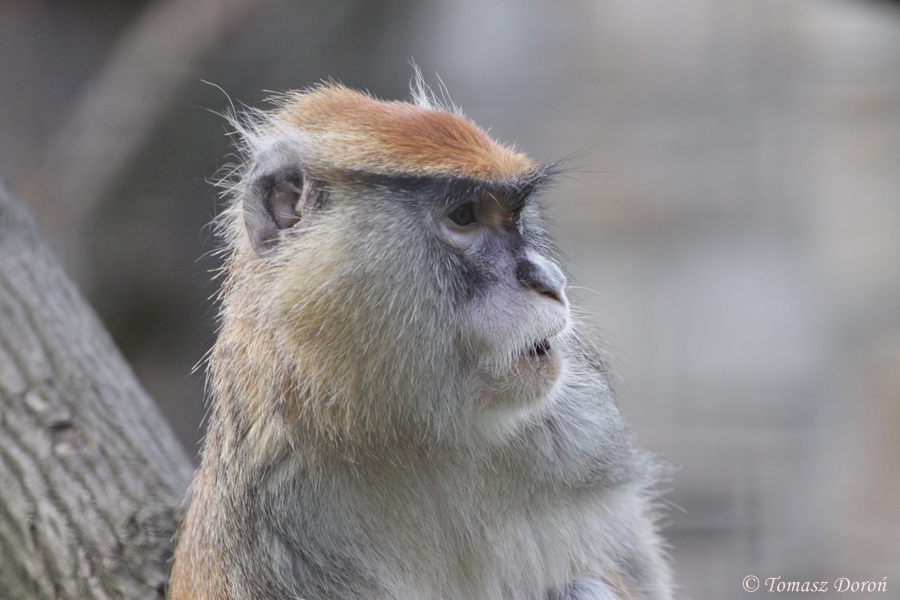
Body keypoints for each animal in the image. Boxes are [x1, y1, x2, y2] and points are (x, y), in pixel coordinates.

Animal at [168, 75, 673, 600]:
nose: (549, 280)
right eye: (465, 215)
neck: (413, 426)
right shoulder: (277, 509)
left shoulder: (581, 430)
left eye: (514, 216)